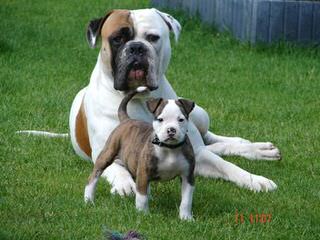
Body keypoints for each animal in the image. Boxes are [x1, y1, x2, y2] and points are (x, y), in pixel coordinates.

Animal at [68, 8, 280, 196]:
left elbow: (227, 166)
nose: (136, 47)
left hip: (201, 116)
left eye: (153, 38)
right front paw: (124, 184)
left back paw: (255, 148)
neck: (141, 99)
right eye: (117, 39)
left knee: (212, 140)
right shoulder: (105, 152)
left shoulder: (196, 155)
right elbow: (115, 167)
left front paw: (254, 179)